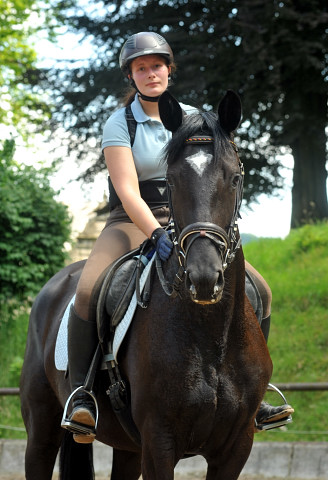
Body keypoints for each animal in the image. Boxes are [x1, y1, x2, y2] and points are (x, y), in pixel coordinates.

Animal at [19, 91, 272, 480]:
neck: (211, 337)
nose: (202, 277)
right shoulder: (159, 441)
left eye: (233, 178)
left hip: (128, 447)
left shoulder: (236, 446)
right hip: (42, 430)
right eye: (172, 180)